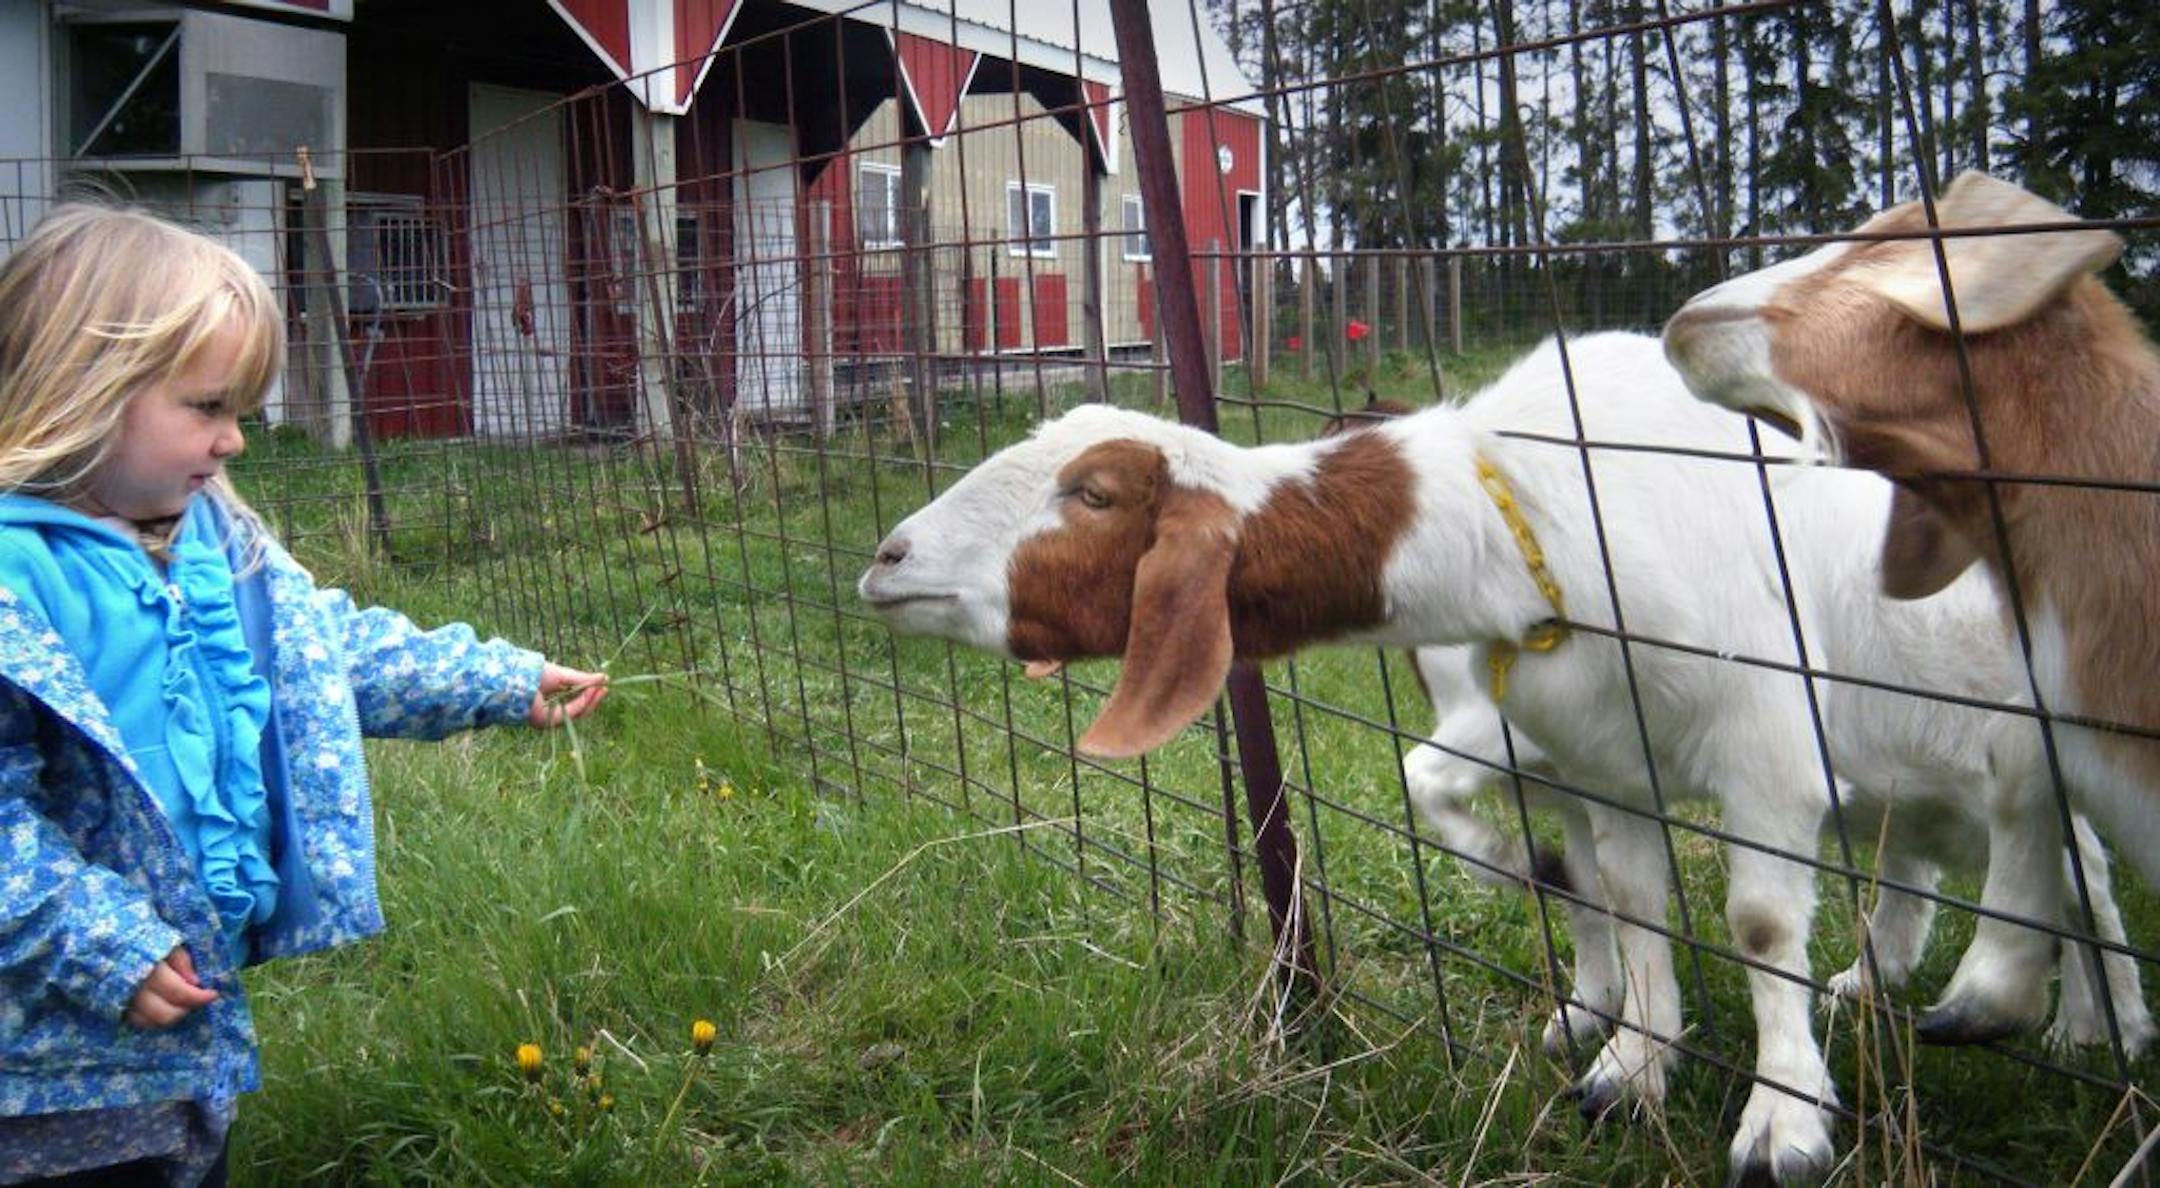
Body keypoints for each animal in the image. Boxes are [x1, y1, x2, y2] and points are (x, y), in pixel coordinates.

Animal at [858, 331, 2127, 1184]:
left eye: (1096, 493)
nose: (886, 558)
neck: (1535, 514)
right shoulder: (1603, 760)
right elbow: (1622, 895)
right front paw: (1632, 1061)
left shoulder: (1763, 735)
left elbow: (1761, 925)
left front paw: (1784, 1124)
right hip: (1905, 764)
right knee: (1925, 855)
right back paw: (1884, 982)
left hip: (2037, 738)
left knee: (2081, 865)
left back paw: (2081, 1024)